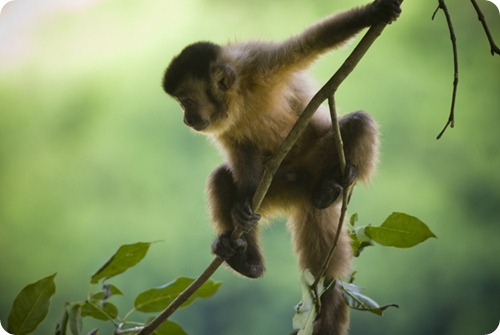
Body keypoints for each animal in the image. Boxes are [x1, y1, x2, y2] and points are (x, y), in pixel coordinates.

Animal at [162, 0, 400, 334]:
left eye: (187, 101)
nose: (186, 119)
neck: (238, 97)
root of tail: (304, 193)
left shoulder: (260, 63)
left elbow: (311, 42)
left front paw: (375, 13)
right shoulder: (226, 125)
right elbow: (240, 157)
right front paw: (242, 207)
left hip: (316, 162)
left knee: (359, 122)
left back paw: (337, 185)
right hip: (278, 190)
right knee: (222, 177)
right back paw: (246, 258)